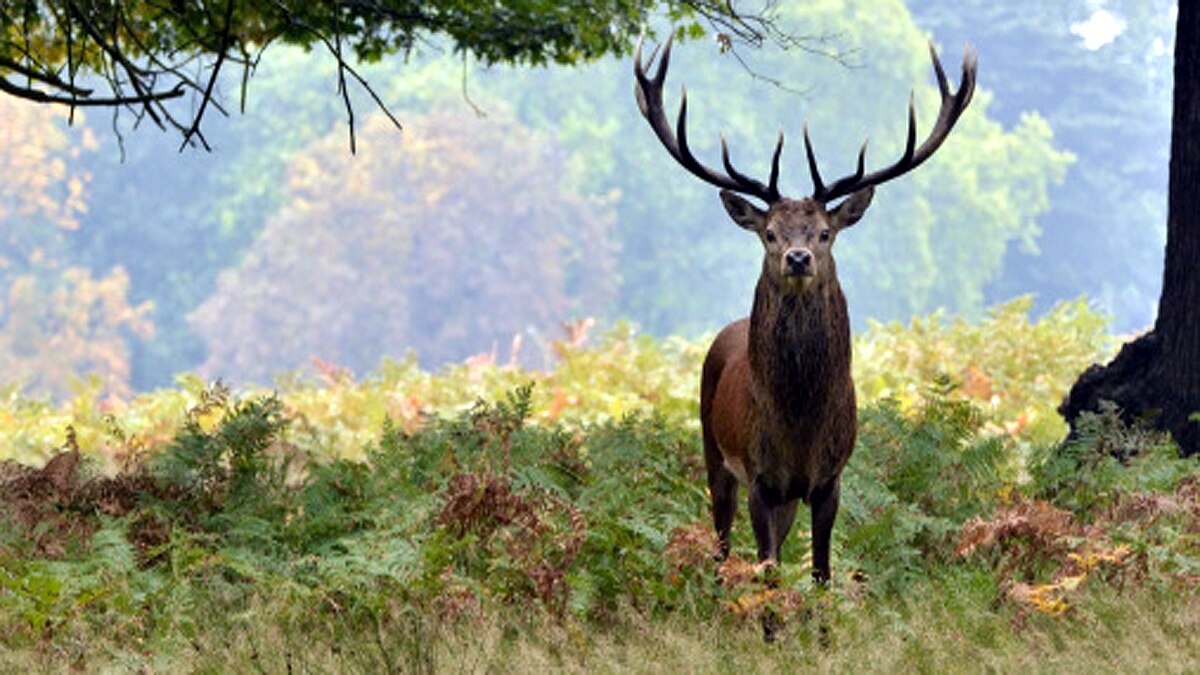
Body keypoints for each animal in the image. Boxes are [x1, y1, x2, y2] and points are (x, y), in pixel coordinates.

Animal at [633, 35, 977, 605]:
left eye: (824, 232)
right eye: (769, 232)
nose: (798, 258)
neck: (800, 420)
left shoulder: (829, 478)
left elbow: (820, 572)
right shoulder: (758, 476)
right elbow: (768, 571)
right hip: (713, 450)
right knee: (721, 543)